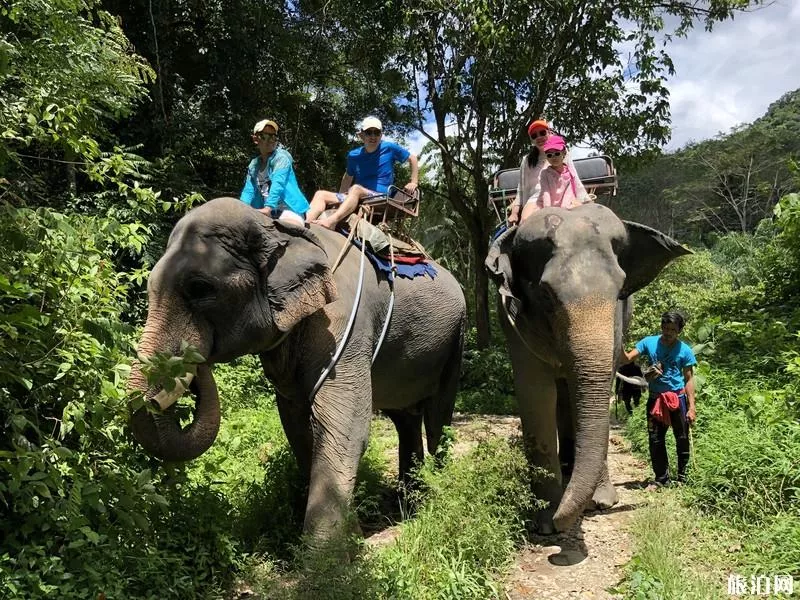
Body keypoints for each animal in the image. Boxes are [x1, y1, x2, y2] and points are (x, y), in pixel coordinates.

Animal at [128, 196, 466, 540]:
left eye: (200, 288)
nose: (194, 361)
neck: (277, 229)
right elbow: (298, 426)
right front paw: (351, 532)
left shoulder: (345, 327)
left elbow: (346, 425)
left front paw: (325, 549)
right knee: (406, 419)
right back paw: (409, 503)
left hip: (456, 338)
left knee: (437, 418)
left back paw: (436, 494)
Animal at [484, 203, 692, 536]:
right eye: (545, 295)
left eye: (620, 291)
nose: (562, 520)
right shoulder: (514, 321)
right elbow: (536, 394)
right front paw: (545, 520)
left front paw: (600, 503)